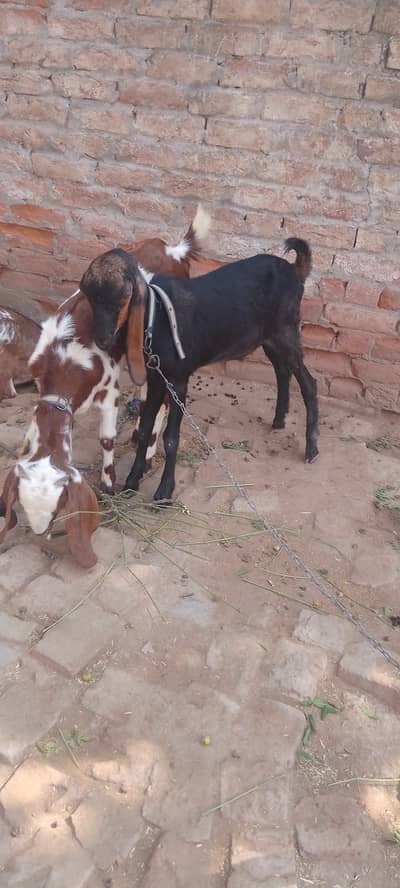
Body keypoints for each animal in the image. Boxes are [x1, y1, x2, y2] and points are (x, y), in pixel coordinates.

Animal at [80, 238, 319, 503]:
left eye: (124, 296)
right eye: (90, 296)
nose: (102, 339)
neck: (156, 319)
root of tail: (295, 270)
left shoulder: (178, 380)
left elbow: (170, 438)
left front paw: (164, 492)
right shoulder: (156, 378)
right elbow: (144, 429)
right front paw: (132, 482)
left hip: (286, 331)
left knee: (308, 382)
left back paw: (311, 449)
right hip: (270, 337)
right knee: (282, 370)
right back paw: (279, 419)